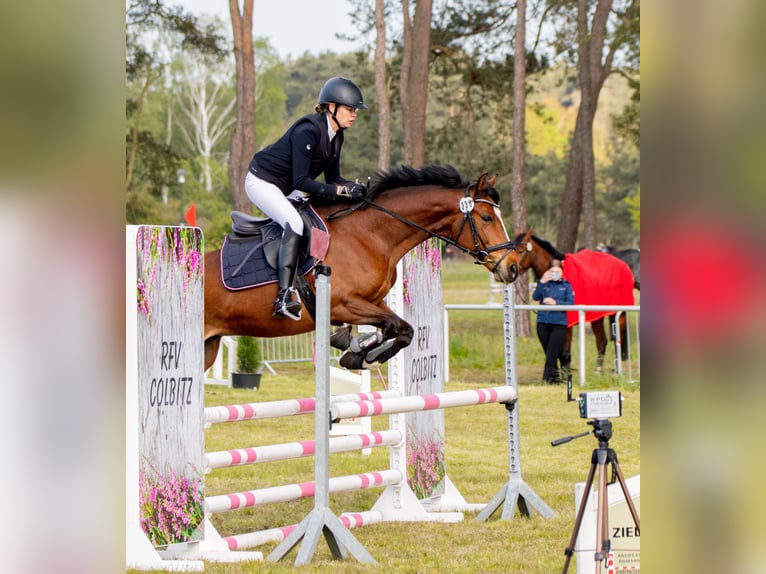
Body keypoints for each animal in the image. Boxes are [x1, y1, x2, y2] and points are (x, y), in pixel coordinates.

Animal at [202, 165, 520, 374]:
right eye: (487, 217)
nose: (513, 267)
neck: (372, 234)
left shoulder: (374, 301)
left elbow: (404, 329)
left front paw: (357, 351)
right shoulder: (342, 304)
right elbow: (394, 326)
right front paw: (359, 351)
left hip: (208, 347)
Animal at [516, 231, 636, 372]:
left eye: (520, 250)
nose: (510, 270)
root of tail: (624, 265)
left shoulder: (567, 324)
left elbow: (564, 350)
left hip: (619, 313)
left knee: (618, 338)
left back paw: (614, 369)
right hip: (597, 316)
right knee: (602, 341)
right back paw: (598, 370)